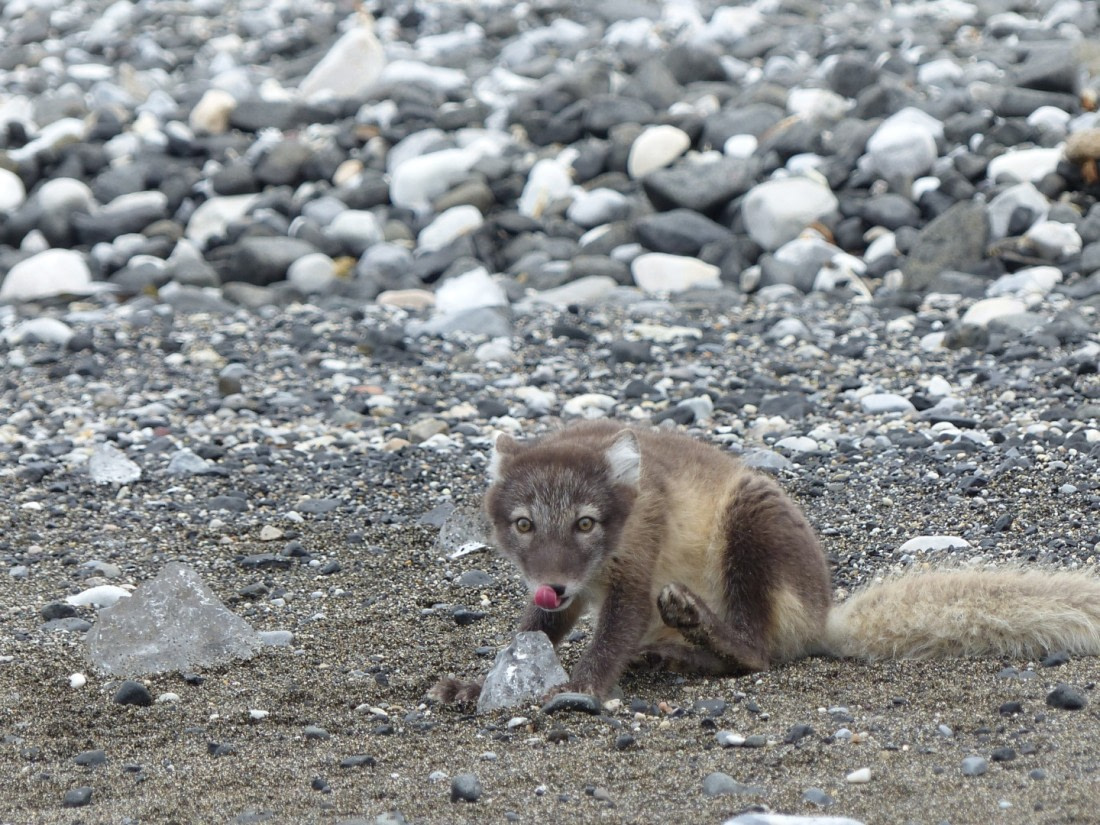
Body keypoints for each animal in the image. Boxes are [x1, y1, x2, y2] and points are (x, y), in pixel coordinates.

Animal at [430, 421, 1100, 702]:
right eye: (524, 524)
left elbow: (616, 627)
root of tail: (826, 615)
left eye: (586, 523)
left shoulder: (636, 563)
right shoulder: (565, 593)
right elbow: (534, 633)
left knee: (759, 653)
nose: (554, 583)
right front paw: (478, 684)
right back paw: (674, 652)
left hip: (749, 523)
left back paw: (696, 633)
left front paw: (579, 687)